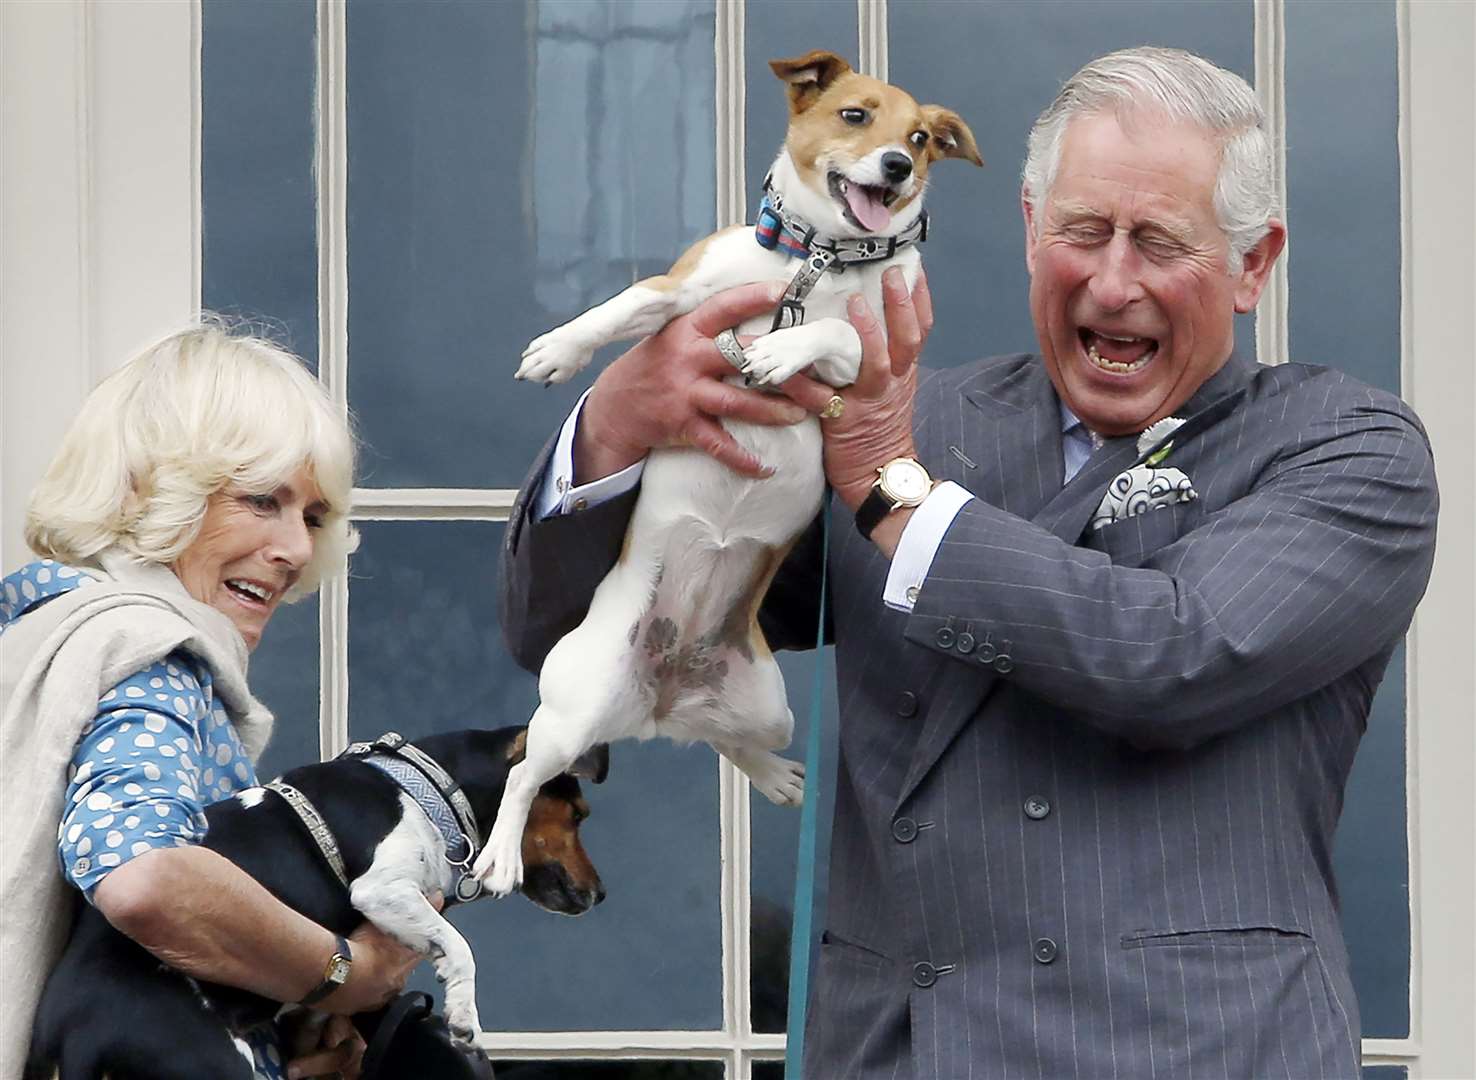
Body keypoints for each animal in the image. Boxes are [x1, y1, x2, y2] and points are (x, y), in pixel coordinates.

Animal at [27, 725, 605, 1080]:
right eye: (578, 815)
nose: (602, 894)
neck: (436, 792)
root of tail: (79, 1031)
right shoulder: (382, 890)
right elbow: (459, 947)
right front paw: (464, 1014)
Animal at [475, 48, 980, 897]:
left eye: (920, 138)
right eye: (855, 115)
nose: (898, 166)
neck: (815, 264)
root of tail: (663, 692)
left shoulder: (868, 356)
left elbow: (837, 332)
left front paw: (780, 349)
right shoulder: (679, 293)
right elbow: (617, 310)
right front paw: (558, 350)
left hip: (767, 707)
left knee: (720, 739)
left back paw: (774, 776)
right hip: (572, 710)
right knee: (522, 778)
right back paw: (503, 854)